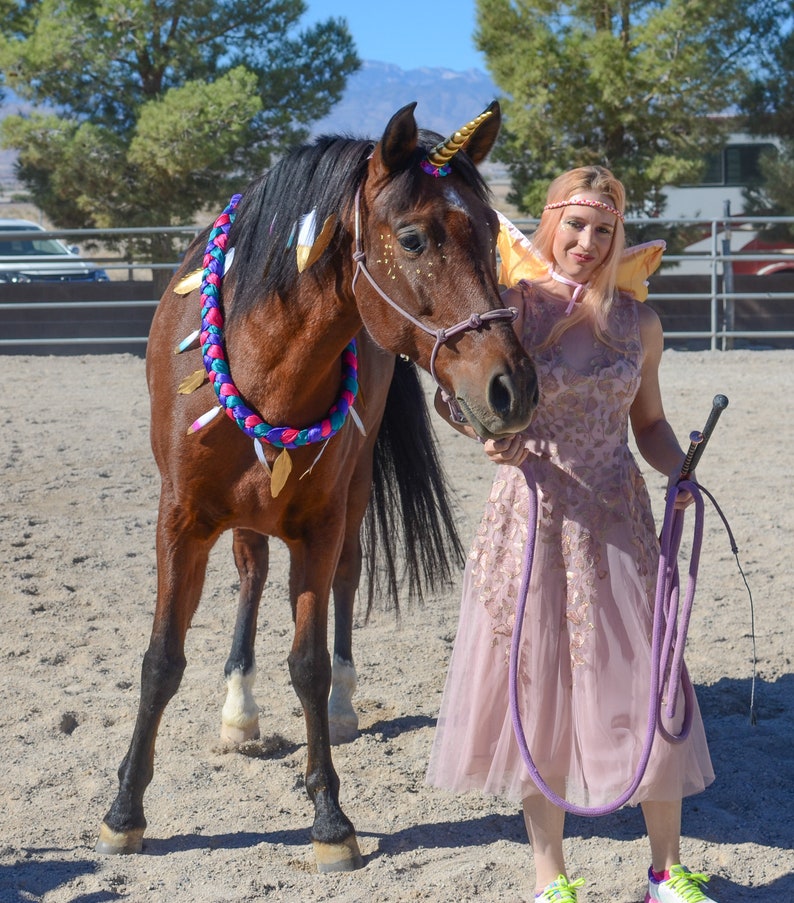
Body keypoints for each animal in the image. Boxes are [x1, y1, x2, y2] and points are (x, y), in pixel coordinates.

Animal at [93, 102, 540, 872]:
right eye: (414, 237)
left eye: (490, 234)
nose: (512, 387)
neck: (261, 359)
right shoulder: (179, 519)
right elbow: (160, 661)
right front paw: (124, 811)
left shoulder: (320, 524)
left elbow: (308, 663)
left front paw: (330, 817)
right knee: (250, 571)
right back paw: (239, 710)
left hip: (352, 500)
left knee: (346, 582)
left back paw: (343, 709)